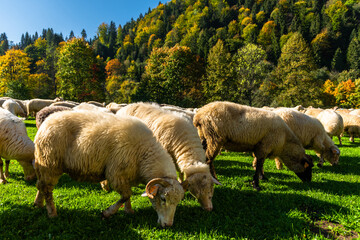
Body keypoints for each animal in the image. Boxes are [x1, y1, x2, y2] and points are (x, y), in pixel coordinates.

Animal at [33, 110, 186, 227]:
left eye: (178, 202)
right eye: (163, 199)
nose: (168, 225)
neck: (144, 153)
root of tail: (47, 122)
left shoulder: (127, 174)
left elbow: (127, 195)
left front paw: (129, 211)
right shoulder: (116, 173)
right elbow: (126, 195)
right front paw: (107, 213)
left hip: (44, 163)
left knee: (41, 185)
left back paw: (38, 204)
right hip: (50, 163)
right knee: (47, 189)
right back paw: (52, 213)